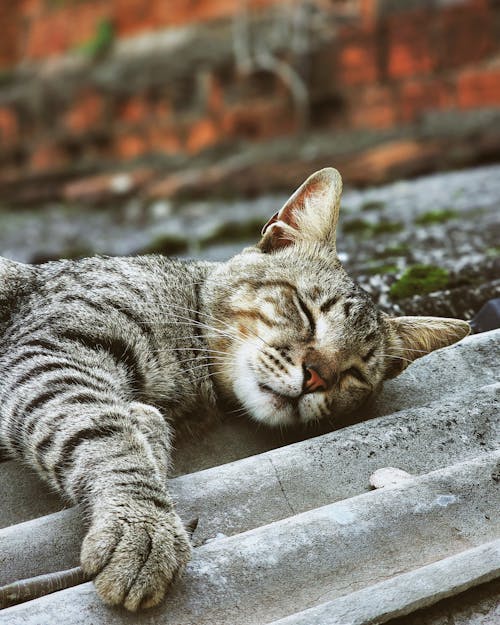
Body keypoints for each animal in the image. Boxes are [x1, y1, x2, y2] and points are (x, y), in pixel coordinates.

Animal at [0, 167, 468, 608]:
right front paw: (144, 524)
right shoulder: (49, 350)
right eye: (306, 312)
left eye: (354, 372)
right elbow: (103, 433)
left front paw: (148, 431)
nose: (317, 376)